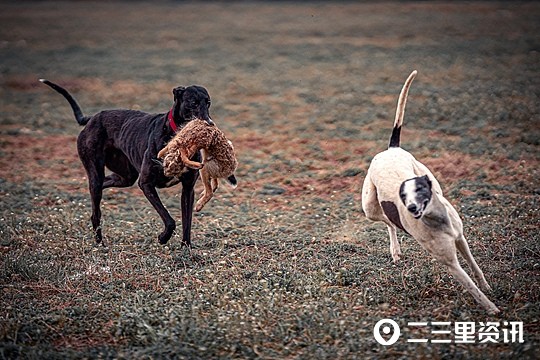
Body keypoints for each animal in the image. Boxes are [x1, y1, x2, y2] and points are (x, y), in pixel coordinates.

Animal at [40, 79, 214, 246]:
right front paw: (163, 238)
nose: (210, 124)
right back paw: (100, 244)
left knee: (103, 185)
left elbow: (187, 221)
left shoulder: (188, 188)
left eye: (208, 102)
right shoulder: (146, 183)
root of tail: (92, 118)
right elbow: (169, 220)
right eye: (193, 103)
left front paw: (186, 247)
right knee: (96, 211)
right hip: (96, 169)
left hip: (125, 176)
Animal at [360, 70, 500, 312]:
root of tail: (391, 149)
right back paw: (395, 249)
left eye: (420, 189)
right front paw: (492, 309)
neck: (438, 219)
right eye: (403, 195)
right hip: (369, 207)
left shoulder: (460, 239)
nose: (410, 207)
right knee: (388, 222)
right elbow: (473, 289)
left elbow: (475, 268)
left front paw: (488, 287)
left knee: (390, 221)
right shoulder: (450, 263)